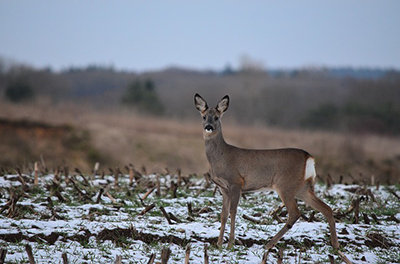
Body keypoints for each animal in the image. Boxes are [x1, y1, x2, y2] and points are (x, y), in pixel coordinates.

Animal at [194, 93, 338, 250]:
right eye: (204, 117)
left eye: (216, 117)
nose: (208, 127)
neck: (221, 157)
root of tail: (309, 157)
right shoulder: (223, 188)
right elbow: (223, 214)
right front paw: (219, 244)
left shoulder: (236, 182)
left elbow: (233, 211)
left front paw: (230, 244)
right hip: (302, 187)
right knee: (327, 208)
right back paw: (335, 246)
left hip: (285, 184)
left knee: (295, 213)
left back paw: (269, 244)